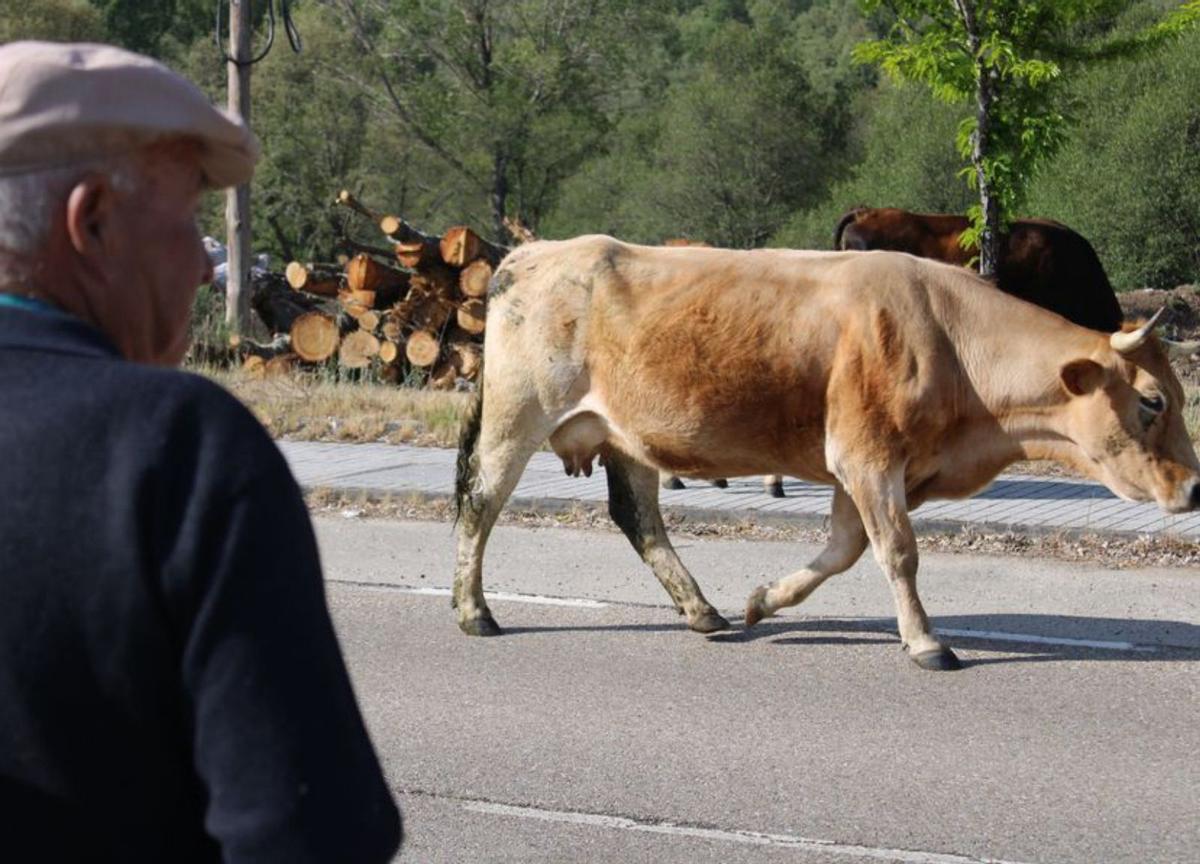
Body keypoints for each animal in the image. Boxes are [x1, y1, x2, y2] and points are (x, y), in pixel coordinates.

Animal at [451, 236, 1200, 667]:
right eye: (1153, 401)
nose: (1194, 489)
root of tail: (529, 254)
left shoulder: (862, 468)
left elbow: (843, 550)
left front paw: (763, 600)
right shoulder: (866, 457)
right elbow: (898, 552)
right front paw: (926, 642)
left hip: (626, 434)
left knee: (639, 519)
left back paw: (704, 612)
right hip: (519, 414)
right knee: (480, 503)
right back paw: (474, 612)